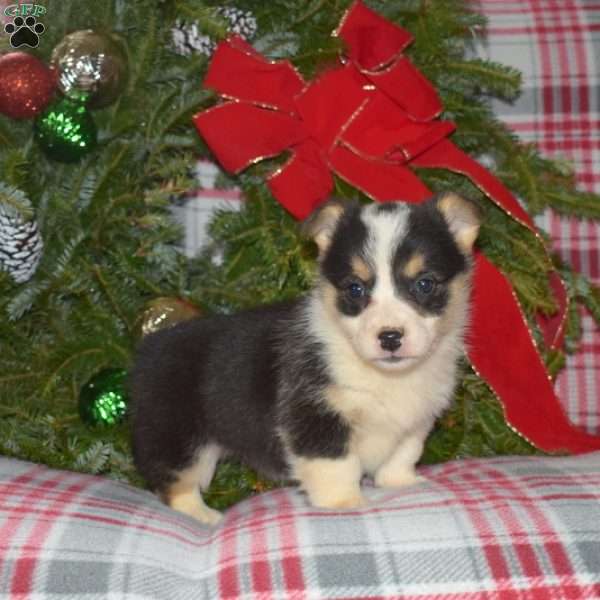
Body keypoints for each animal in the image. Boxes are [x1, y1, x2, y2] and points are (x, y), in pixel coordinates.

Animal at [129, 193, 480, 524]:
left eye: (425, 283)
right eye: (355, 289)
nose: (390, 337)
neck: (387, 376)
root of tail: (150, 346)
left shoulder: (415, 422)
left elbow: (403, 455)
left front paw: (402, 484)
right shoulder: (316, 417)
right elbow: (336, 467)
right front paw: (345, 505)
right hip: (180, 438)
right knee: (175, 483)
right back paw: (204, 517)